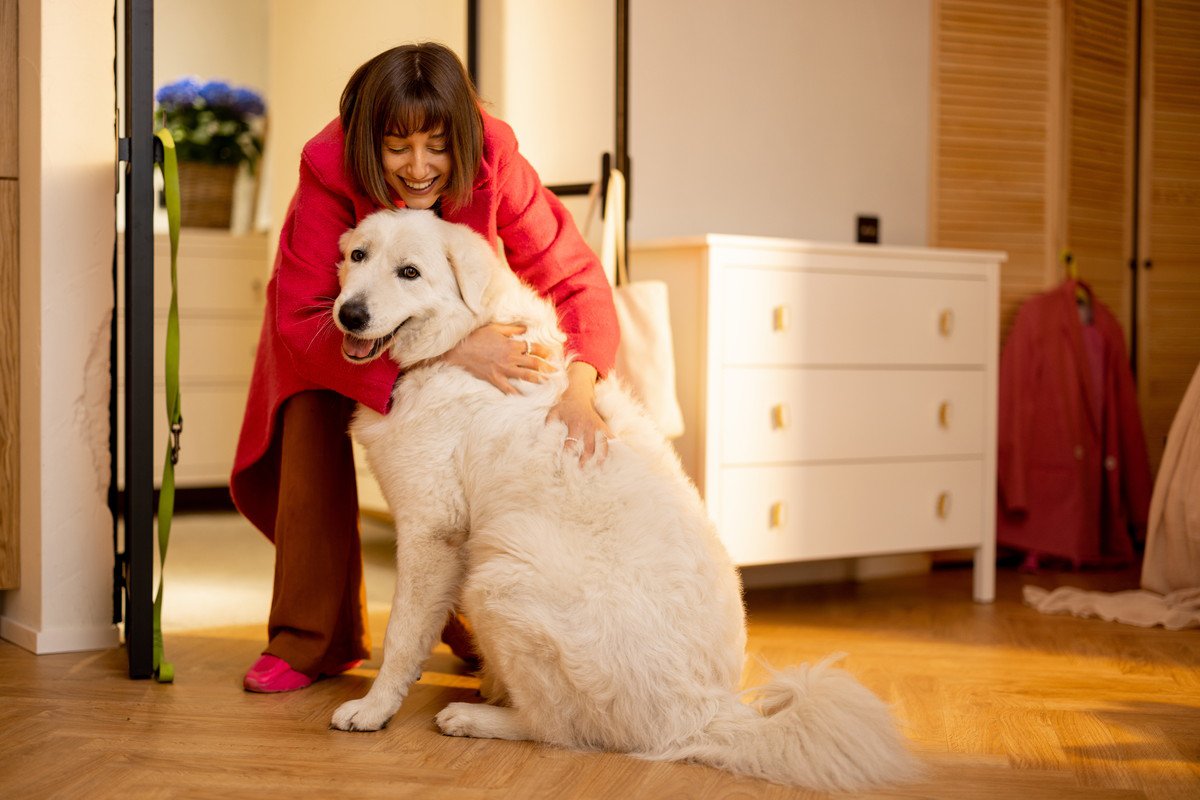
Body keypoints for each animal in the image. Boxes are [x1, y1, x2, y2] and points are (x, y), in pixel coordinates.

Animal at [328, 209, 916, 791]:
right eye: (358, 255)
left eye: (409, 272)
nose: (349, 314)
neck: (459, 343)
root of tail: (708, 713)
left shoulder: (432, 531)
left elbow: (402, 635)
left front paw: (372, 710)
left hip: (499, 576)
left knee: (556, 728)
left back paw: (477, 716)